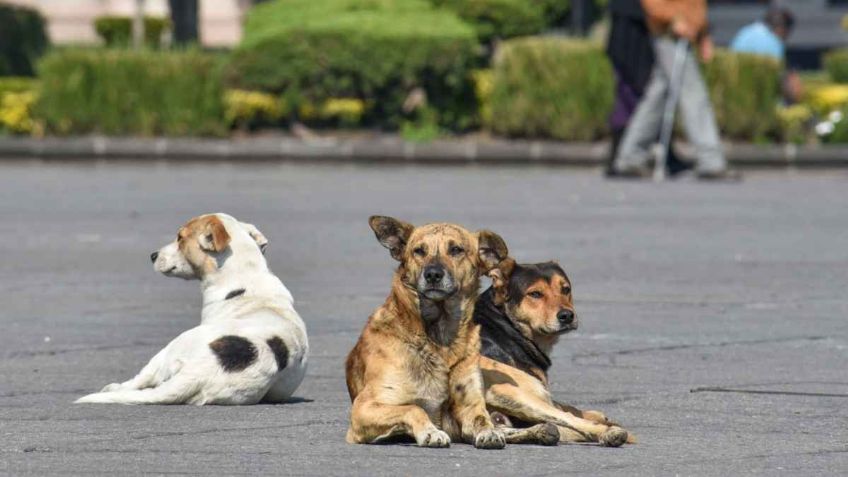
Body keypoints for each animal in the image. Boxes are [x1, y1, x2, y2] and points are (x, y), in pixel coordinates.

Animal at [344, 218, 556, 448]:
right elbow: (413, 408)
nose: (433, 274)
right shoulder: (364, 408)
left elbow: (482, 419)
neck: (440, 337)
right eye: (419, 251)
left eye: (456, 250)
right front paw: (430, 432)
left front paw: (489, 433)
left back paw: (541, 430)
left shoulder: (469, 406)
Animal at [474, 258, 632, 444]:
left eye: (566, 289)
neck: (505, 324)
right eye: (535, 294)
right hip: (513, 394)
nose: (567, 316)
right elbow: (568, 410)